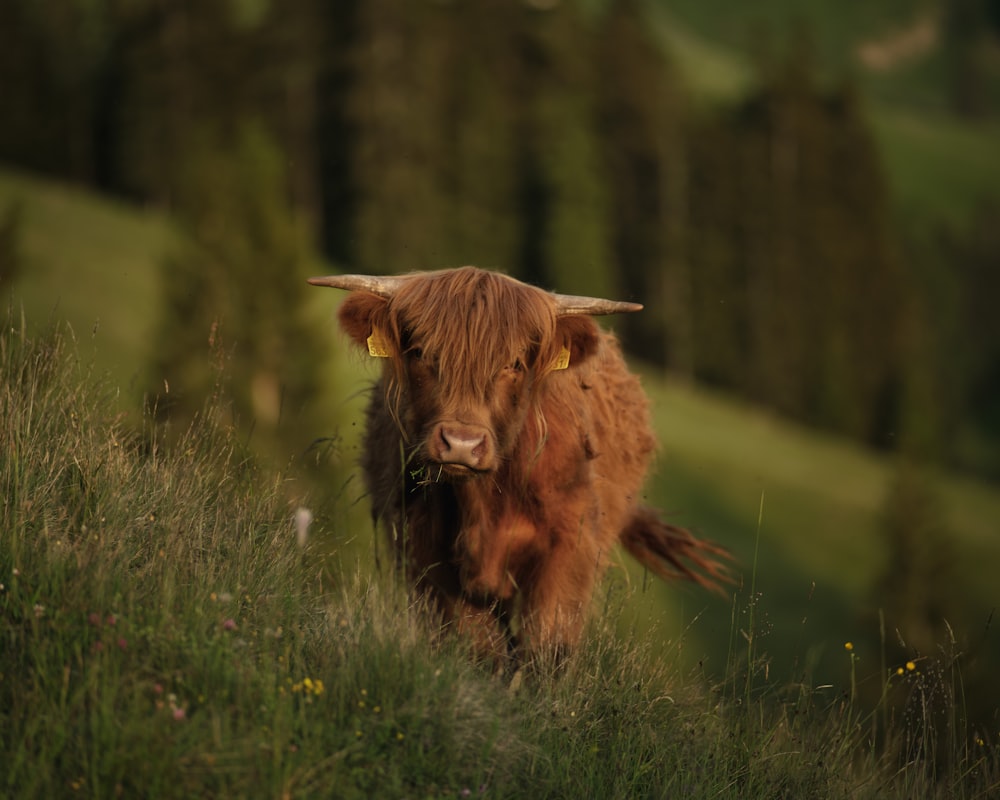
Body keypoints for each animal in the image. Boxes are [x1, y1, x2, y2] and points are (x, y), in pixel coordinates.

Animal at [308, 268, 732, 664]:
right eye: (420, 353)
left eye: (513, 363)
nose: (462, 444)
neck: (486, 504)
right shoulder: (427, 554)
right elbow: (482, 647)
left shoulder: (570, 549)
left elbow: (547, 646)